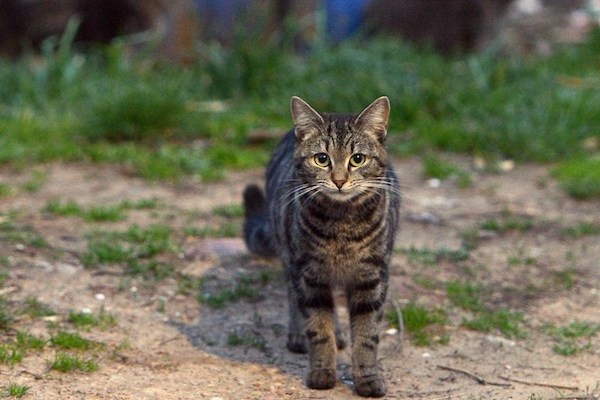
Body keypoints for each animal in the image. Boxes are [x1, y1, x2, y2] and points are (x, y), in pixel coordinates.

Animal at [241, 96, 400, 396]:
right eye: (322, 159)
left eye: (357, 159)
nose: (339, 180)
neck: (342, 226)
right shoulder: (309, 275)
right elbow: (318, 328)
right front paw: (322, 372)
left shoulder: (372, 277)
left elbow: (367, 335)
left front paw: (368, 379)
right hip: (290, 255)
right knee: (293, 295)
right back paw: (298, 335)